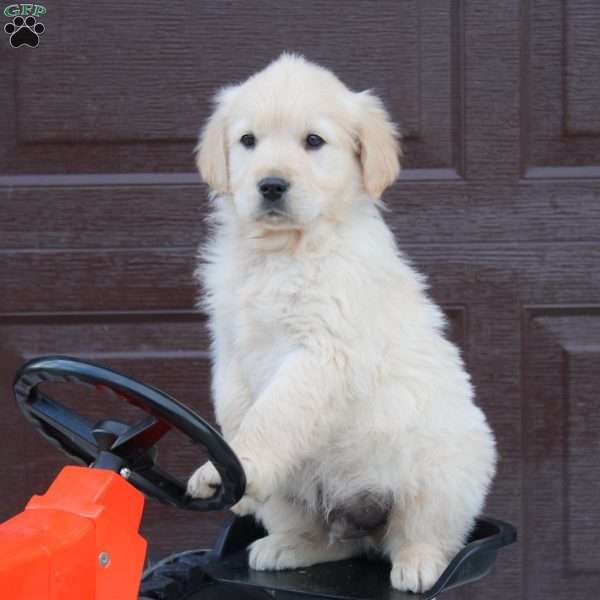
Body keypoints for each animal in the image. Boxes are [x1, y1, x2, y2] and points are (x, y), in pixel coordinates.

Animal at [189, 54, 496, 592]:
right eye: (248, 140)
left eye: (314, 141)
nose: (271, 185)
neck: (283, 251)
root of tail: (364, 516)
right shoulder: (229, 344)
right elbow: (236, 409)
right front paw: (230, 474)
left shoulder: (322, 350)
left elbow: (271, 416)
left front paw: (239, 466)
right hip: (300, 494)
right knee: (333, 538)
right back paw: (289, 545)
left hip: (442, 467)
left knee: (426, 530)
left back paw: (419, 563)